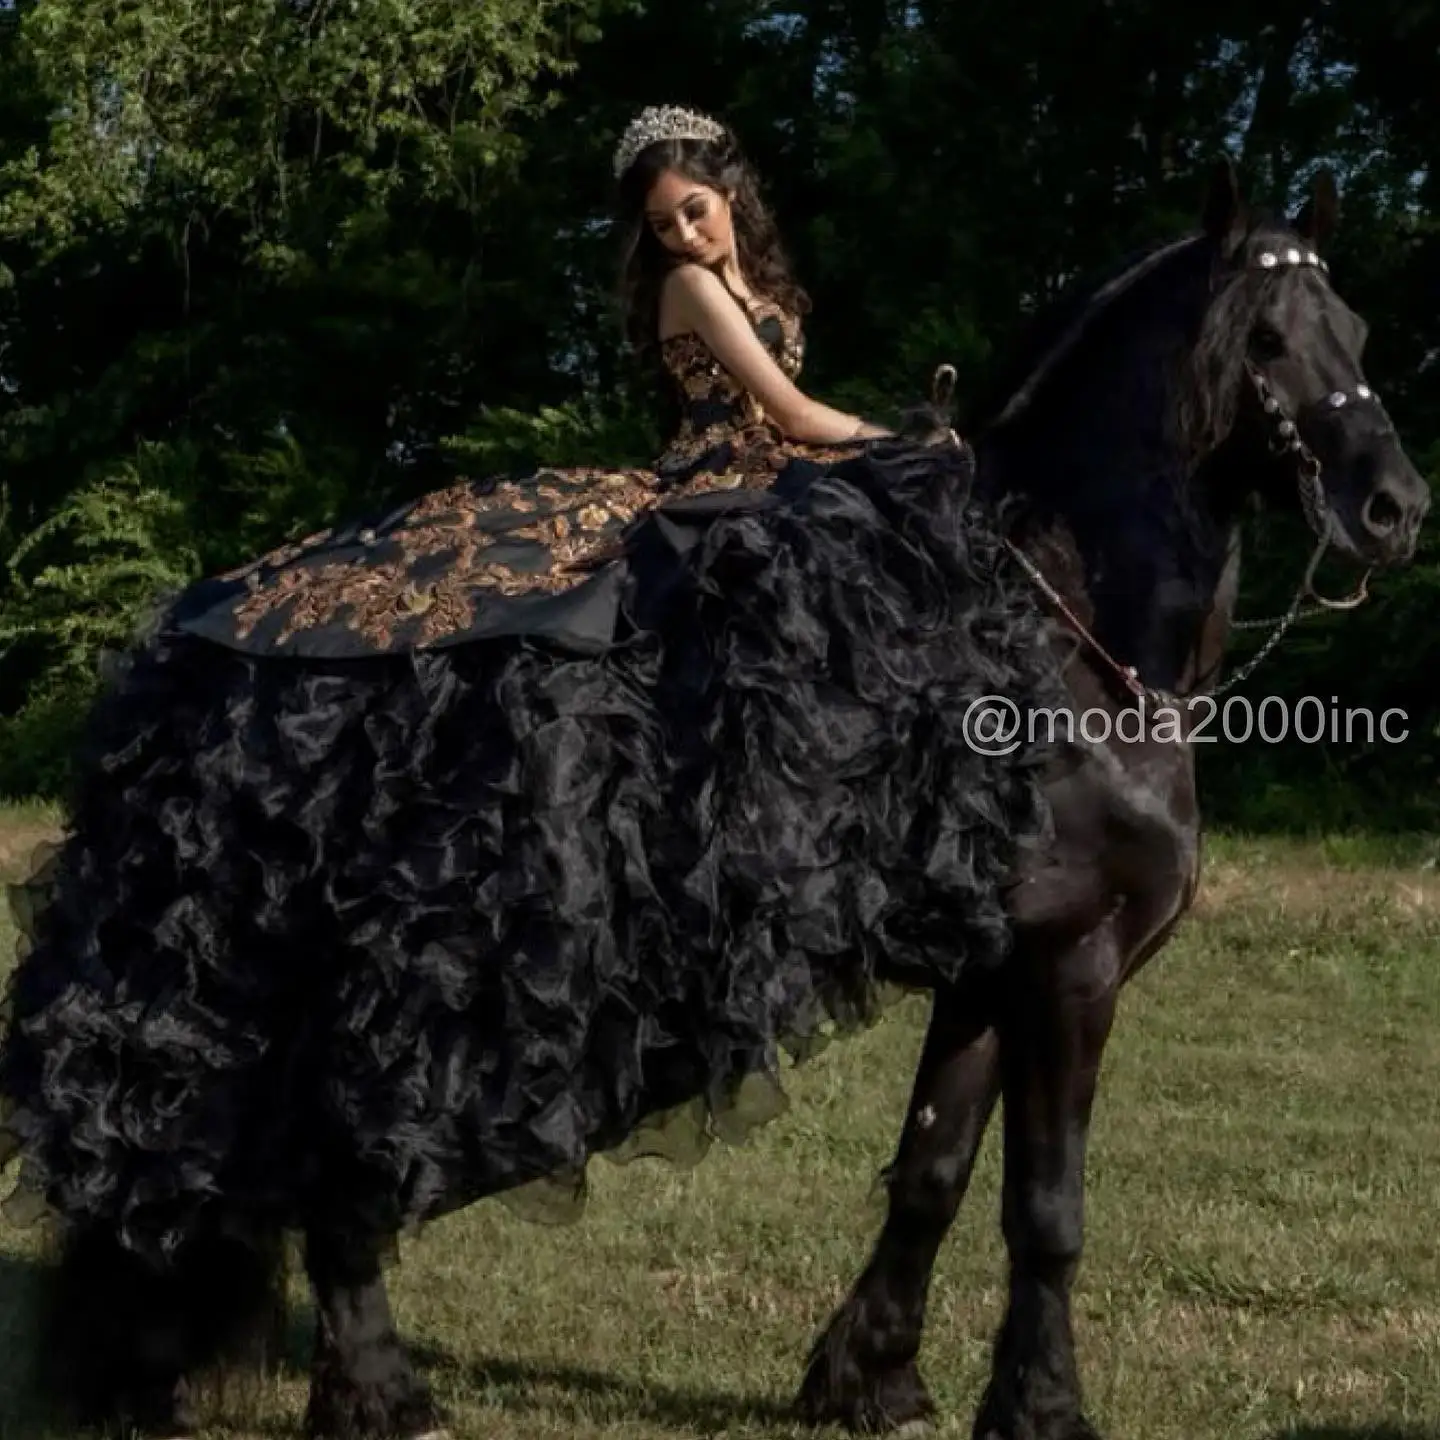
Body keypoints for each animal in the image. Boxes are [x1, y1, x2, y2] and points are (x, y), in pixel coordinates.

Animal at [0, 157, 1422, 1440]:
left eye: (1354, 333)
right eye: (1266, 340)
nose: (1393, 507)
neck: (1057, 628)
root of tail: (209, 642)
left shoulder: (990, 964)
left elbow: (932, 1171)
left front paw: (871, 1381)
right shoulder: (1072, 964)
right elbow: (1048, 1212)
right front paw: (1041, 1409)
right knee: (341, 1160)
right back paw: (382, 1400)